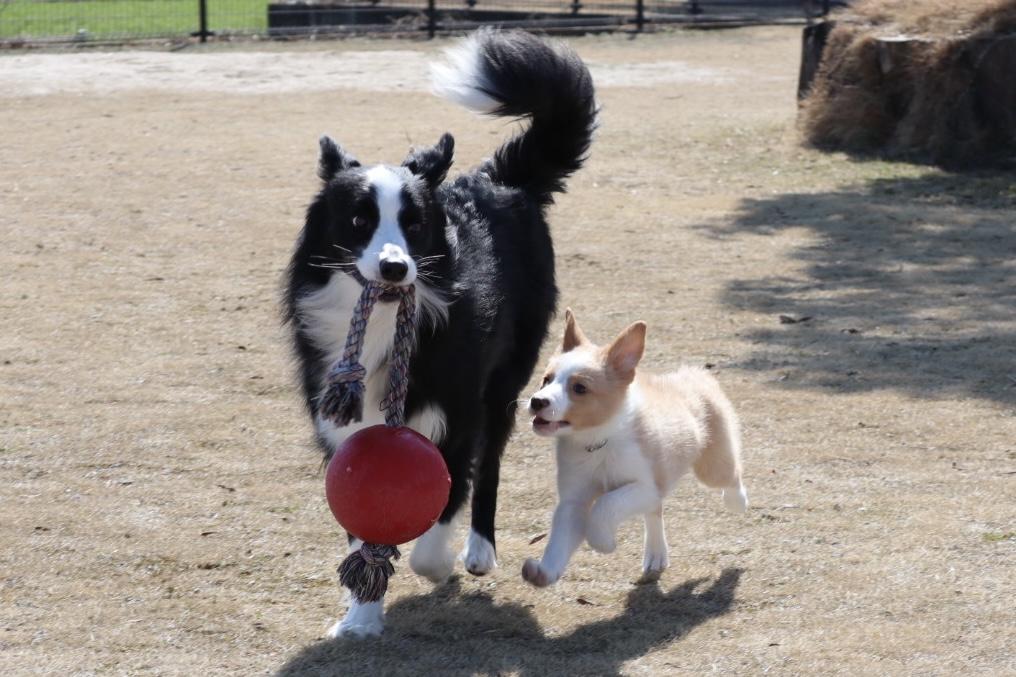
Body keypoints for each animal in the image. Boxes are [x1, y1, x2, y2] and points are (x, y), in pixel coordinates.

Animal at [282, 30, 593, 634]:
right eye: (358, 220)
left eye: (414, 223)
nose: (395, 268)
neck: (383, 323)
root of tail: (499, 178)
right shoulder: (344, 427)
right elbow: (362, 527)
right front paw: (361, 617)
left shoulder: (458, 410)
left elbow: (446, 497)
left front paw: (437, 565)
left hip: (505, 379)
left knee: (490, 463)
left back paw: (477, 551)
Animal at [524, 309, 747, 581]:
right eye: (546, 379)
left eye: (579, 388)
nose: (537, 401)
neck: (598, 442)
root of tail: (695, 374)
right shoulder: (574, 500)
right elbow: (559, 539)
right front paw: (542, 572)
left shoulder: (646, 487)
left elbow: (604, 506)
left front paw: (604, 543)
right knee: (654, 513)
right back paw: (656, 555)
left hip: (712, 468)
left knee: (731, 475)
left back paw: (738, 502)